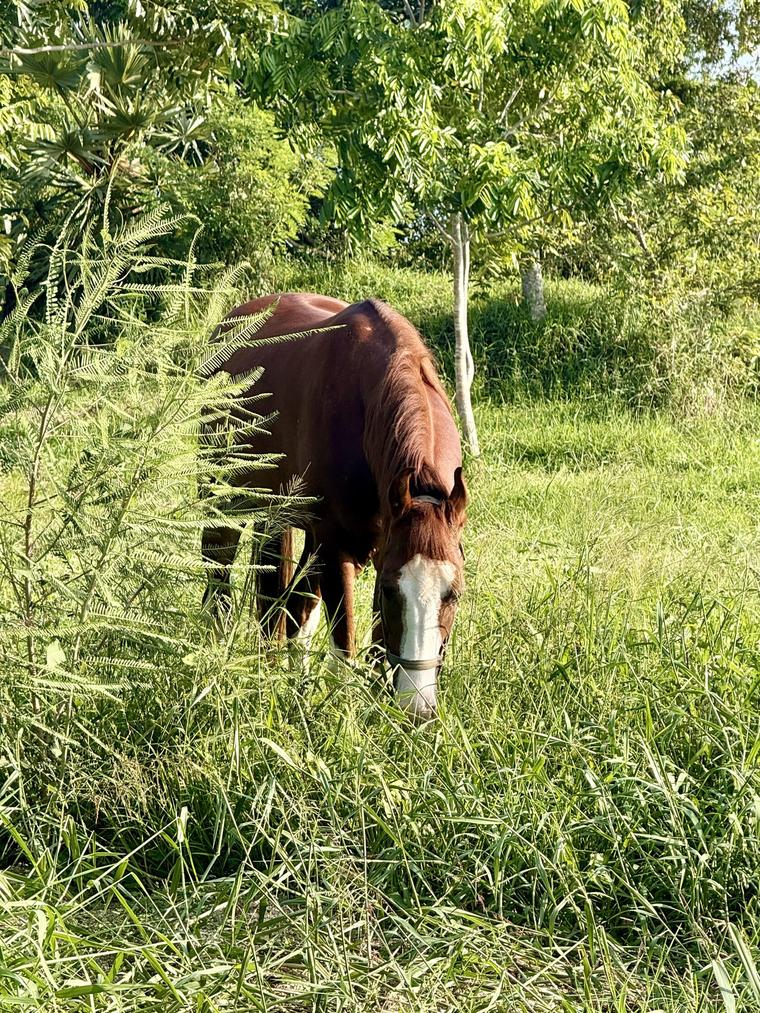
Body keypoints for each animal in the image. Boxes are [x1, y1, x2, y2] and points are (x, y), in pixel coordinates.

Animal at [202, 293, 467, 720]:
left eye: (453, 593)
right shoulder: (339, 548)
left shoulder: (374, 547)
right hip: (221, 501)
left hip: (279, 521)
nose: (417, 707)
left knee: (282, 605)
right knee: (219, 586)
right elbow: (345, 646)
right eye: (392, 591)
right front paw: (345, 722)